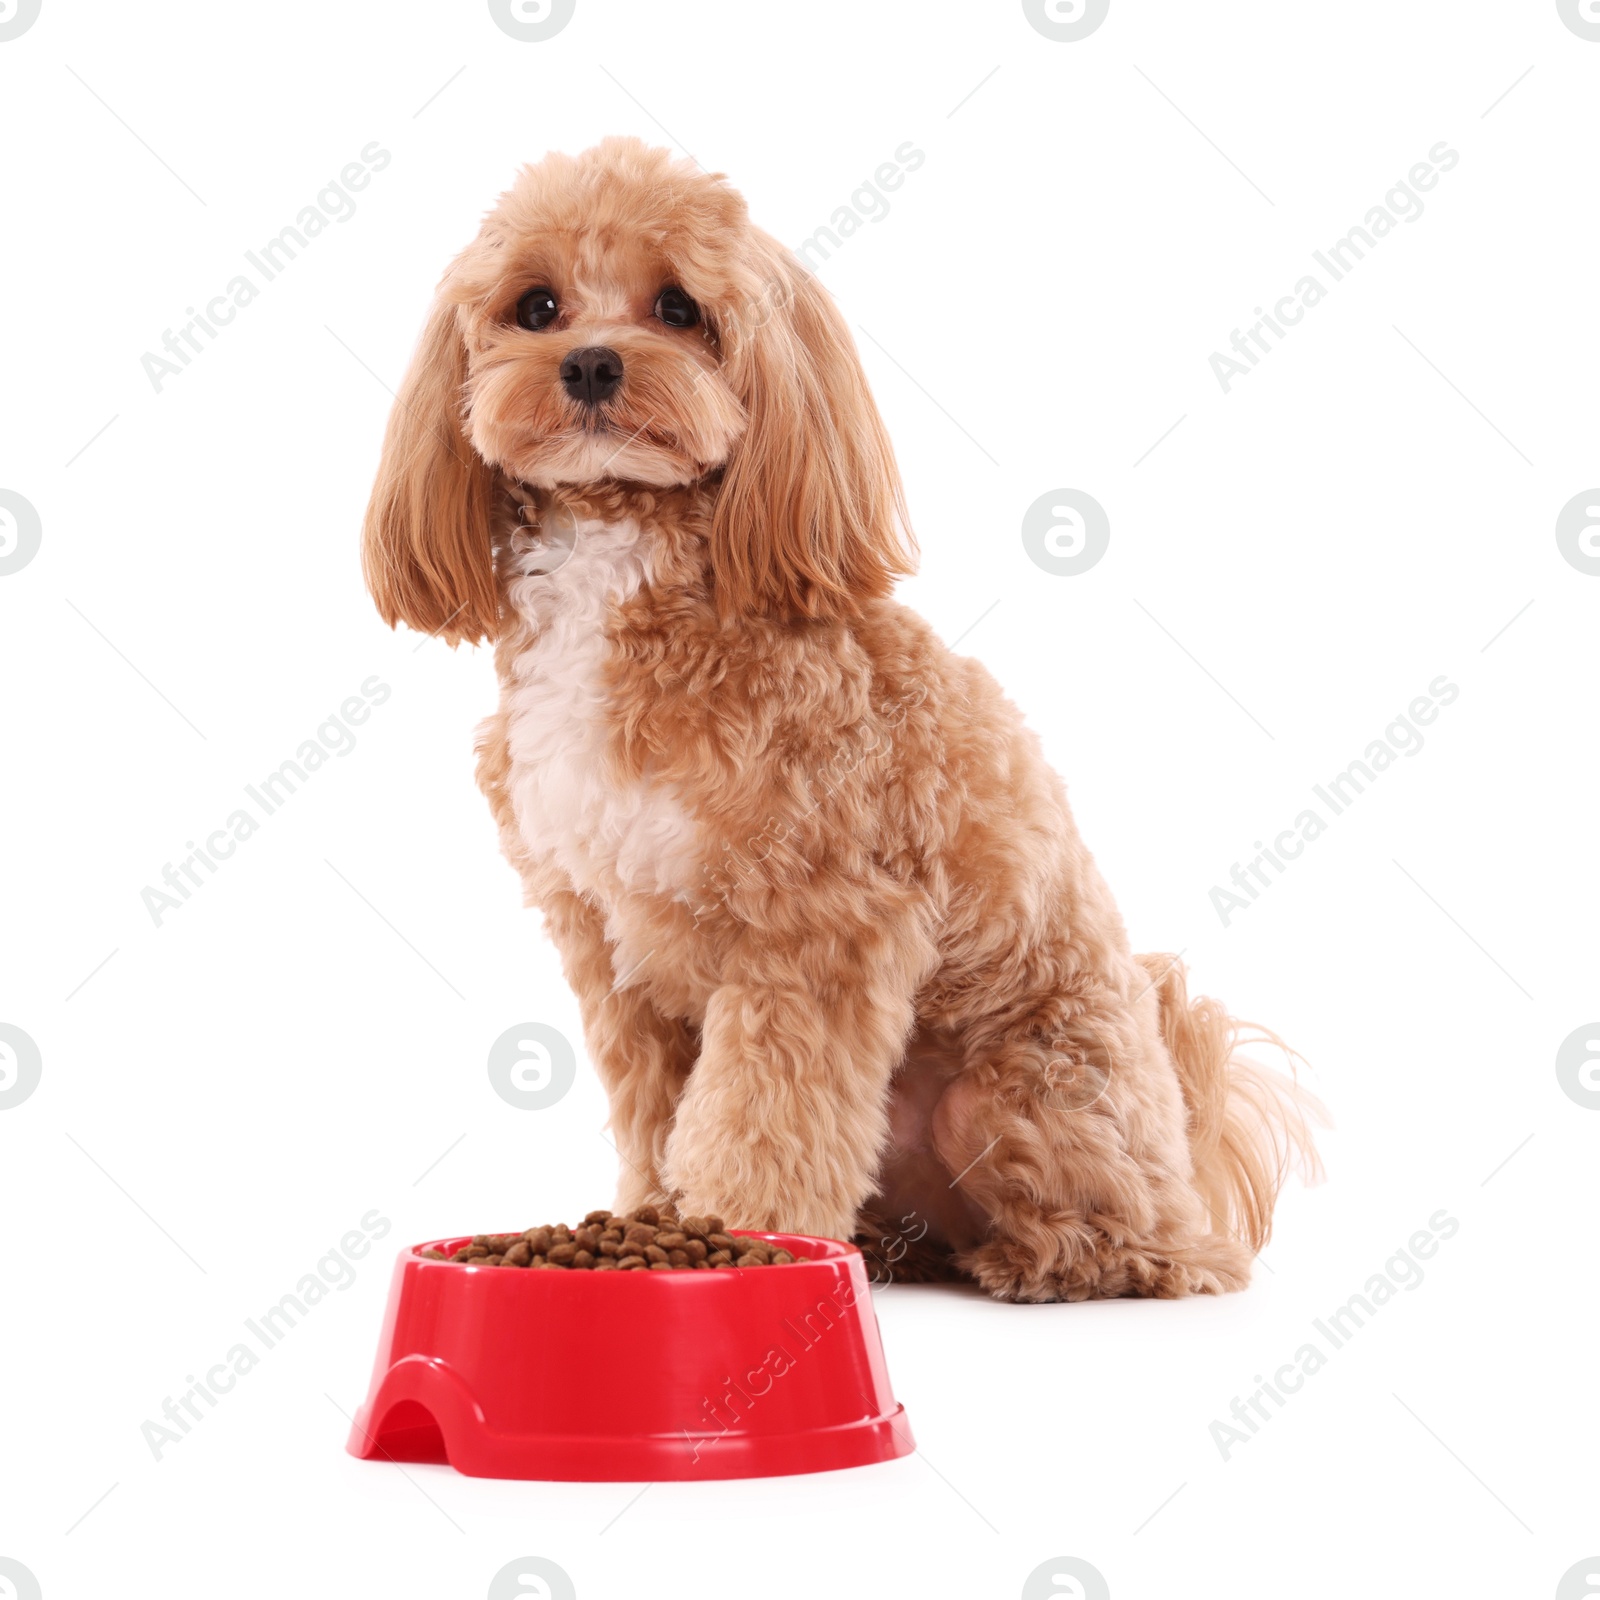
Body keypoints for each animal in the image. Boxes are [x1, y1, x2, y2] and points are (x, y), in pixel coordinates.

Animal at [366, 137, 1324, 1305]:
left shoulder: (815, 927)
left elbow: (762, 1111)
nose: (590, 364)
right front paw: (648, 1216)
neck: (625, 566)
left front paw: (743, 1233)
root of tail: (1193, 1158)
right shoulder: (607, 940)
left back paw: (1042, 1260)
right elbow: (658, 1109)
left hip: (1015, 1096)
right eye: (535, 306)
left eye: (679, 307)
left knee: (1138, 1243)